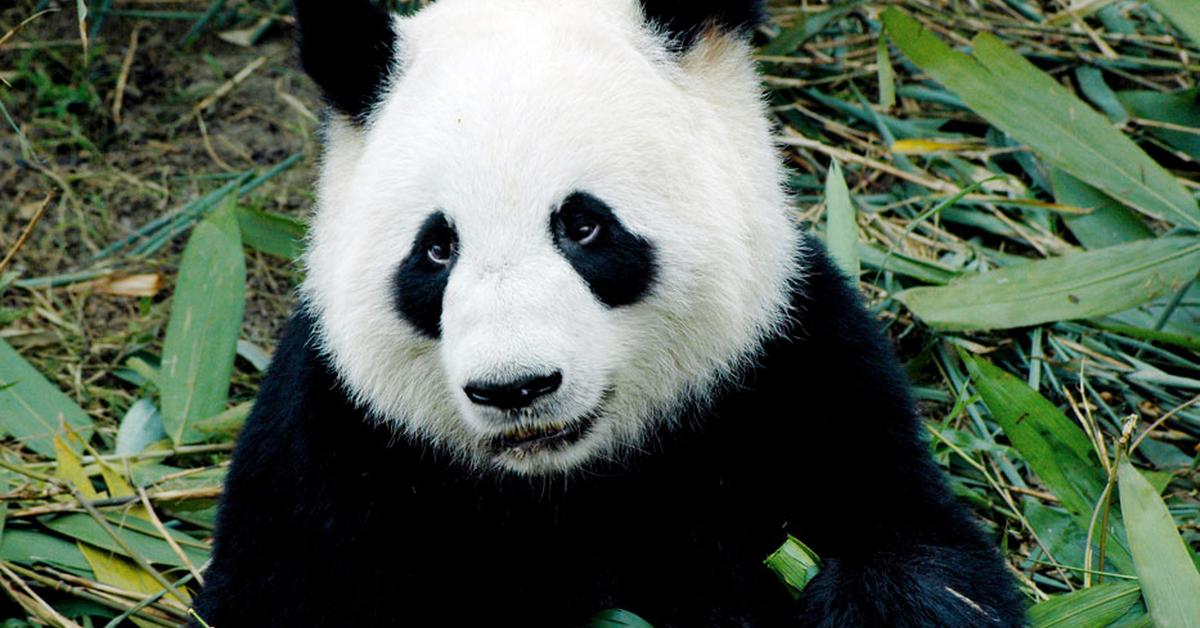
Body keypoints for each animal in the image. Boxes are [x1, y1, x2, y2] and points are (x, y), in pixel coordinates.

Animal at [192, 0, 1027, 624]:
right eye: (436, 250)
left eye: (585, 226)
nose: (516, 388)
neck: (563, 478)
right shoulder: (334, 445)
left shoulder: (788, 371)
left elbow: (924, 562)